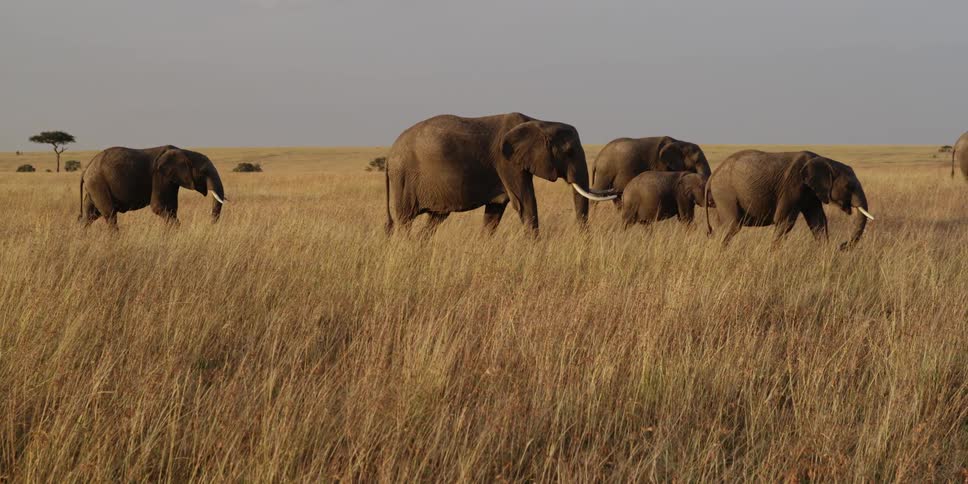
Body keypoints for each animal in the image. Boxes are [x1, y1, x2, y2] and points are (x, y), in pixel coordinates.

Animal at [80, 145, 227, 228]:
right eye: (203, 172)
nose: (210, 224)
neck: (184, 152)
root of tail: (86, 169)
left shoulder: (171, 180)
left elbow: (171, 208)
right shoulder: (159, 175)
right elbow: (158, 207)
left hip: (94, 186)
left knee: (90, 215)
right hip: (98, 183)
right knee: (110, 215)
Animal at [384, 112, 617, 236]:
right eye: (569, 151)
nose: (584, 239)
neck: (539, 122)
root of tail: (389, 155)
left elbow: (494, 211)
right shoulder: (507, 163)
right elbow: (525, 203)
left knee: (435, 219)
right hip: (404, 179)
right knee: (405, 220)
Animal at [704, 150, 874, 249]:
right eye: (849, 186)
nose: (842, 245)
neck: (826, 161)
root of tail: (713, 175)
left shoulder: (811, 192)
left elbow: (818, 221)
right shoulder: (792, 185)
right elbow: (785, 221)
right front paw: (773, 255)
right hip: (725, 194)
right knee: (731, 226)